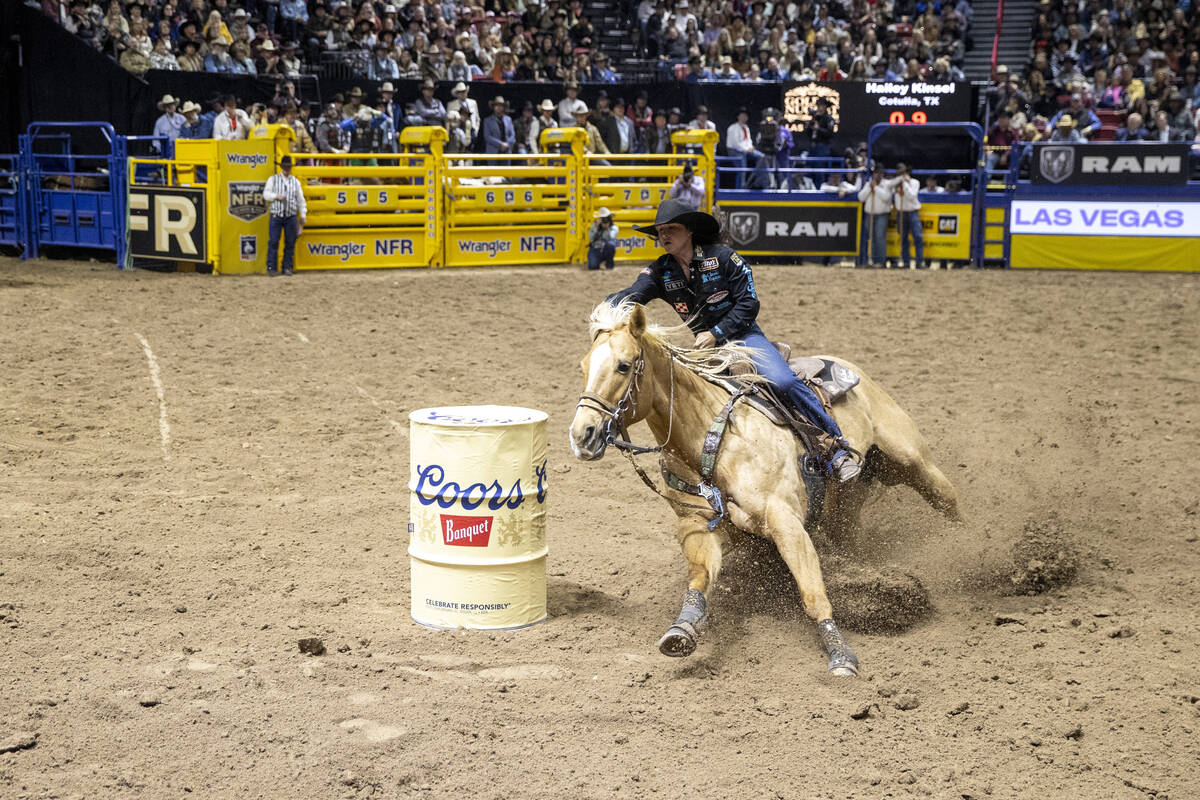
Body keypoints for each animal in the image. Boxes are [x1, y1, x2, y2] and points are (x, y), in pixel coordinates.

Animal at [571, 303, 964, 681]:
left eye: (623, 366)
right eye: (584, 366)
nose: (582, 434)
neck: (712, 442)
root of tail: (850, 368)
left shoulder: (785, 523)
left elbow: (812, 592)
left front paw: (841, 655)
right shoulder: (697, 527)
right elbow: (700, 578)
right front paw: (682, 630)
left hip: (914, 462)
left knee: (949, 504)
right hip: (844, 511)